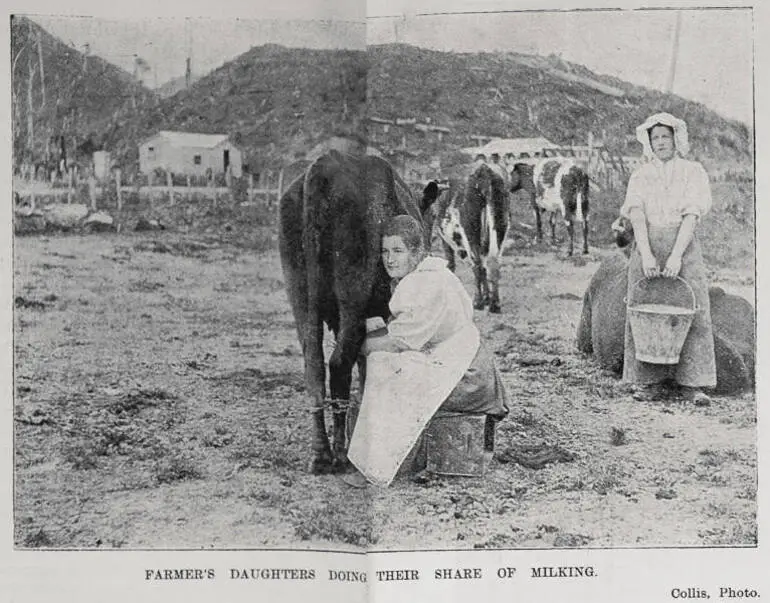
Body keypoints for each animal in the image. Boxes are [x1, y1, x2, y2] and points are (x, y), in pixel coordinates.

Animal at [280, 151, 428, 476]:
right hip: (352, 297)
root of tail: (324, 164)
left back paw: (320, 454)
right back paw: (340, 454)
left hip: (300, 294)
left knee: (314, 365)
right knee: (338, 363)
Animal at [436, 165, 508, 314]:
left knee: (477, 264)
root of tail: (484, 172)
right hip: (500, 228)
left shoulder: (445, 241)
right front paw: (487, 297)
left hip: (470, 233)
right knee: (492, 264)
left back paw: (477, 302)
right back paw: (494, 304)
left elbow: (450, 264)